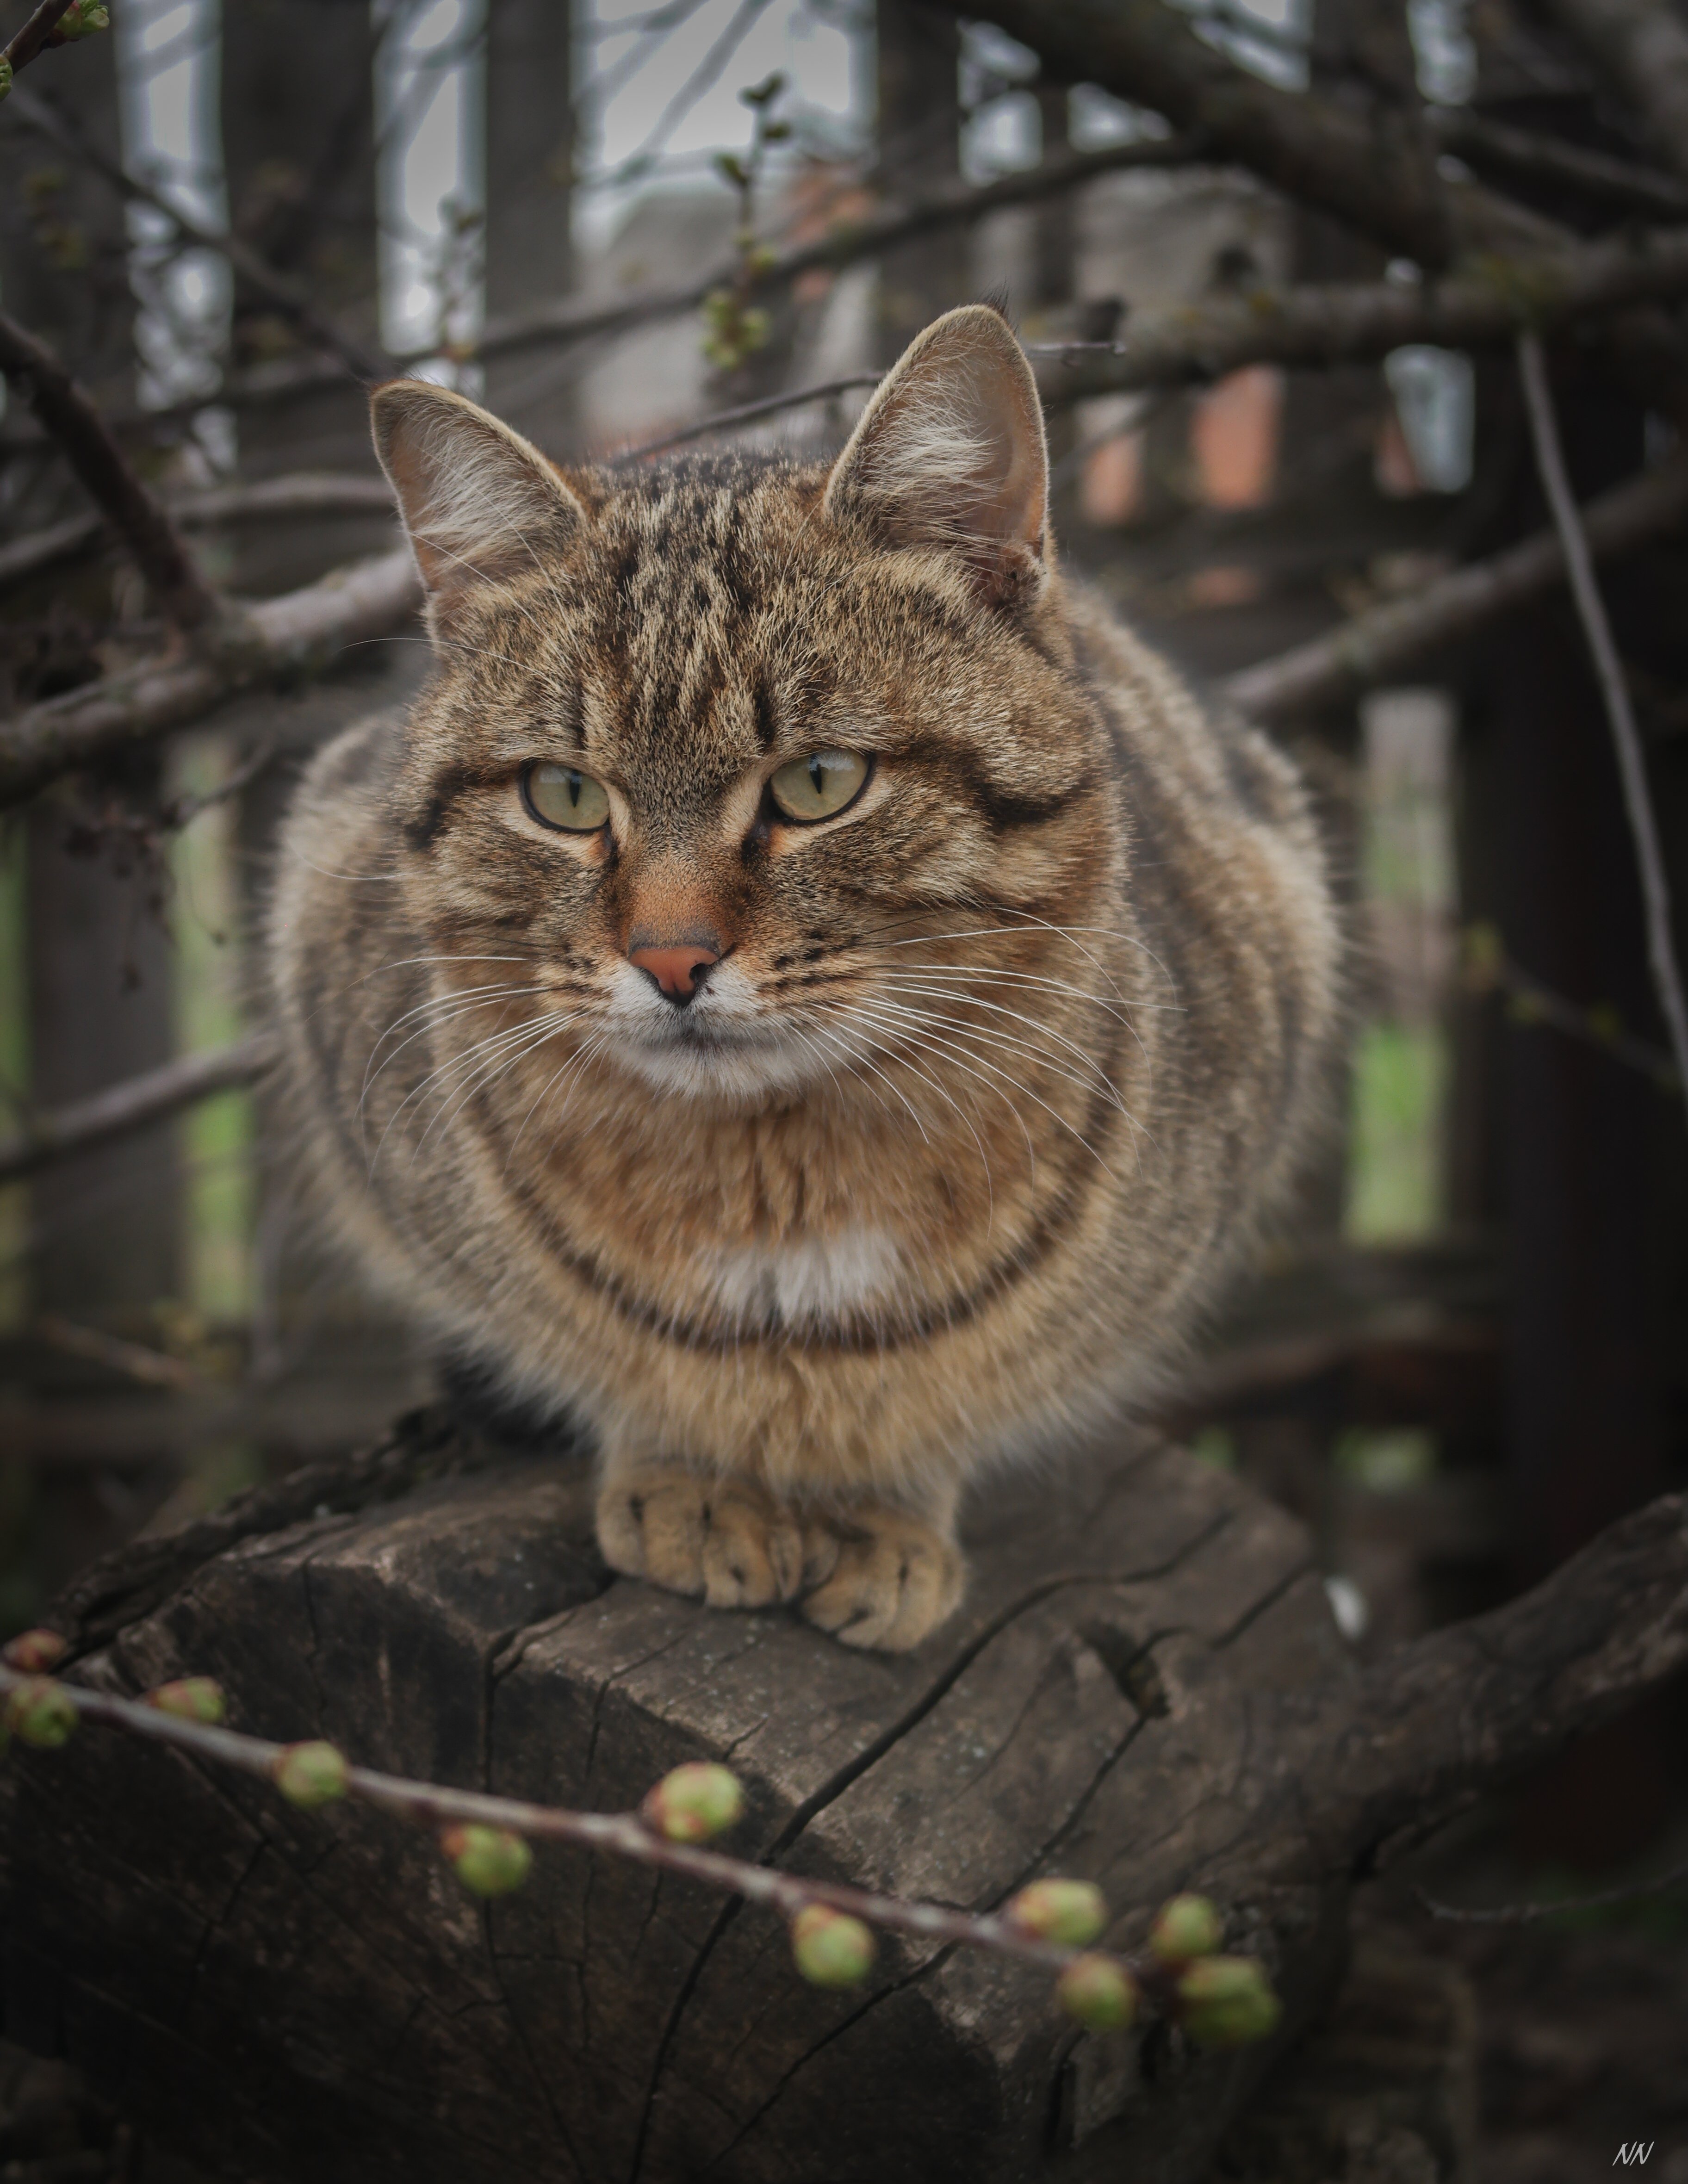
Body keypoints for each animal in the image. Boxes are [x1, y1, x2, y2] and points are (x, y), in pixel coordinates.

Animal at [269, 299, 1336, 1642]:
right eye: (563, 796)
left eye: (820, 782)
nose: (671, 959)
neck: (781, 1191)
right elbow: (624, 1373)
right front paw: (691, 1481)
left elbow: (937, 1406)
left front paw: (890, 1515)